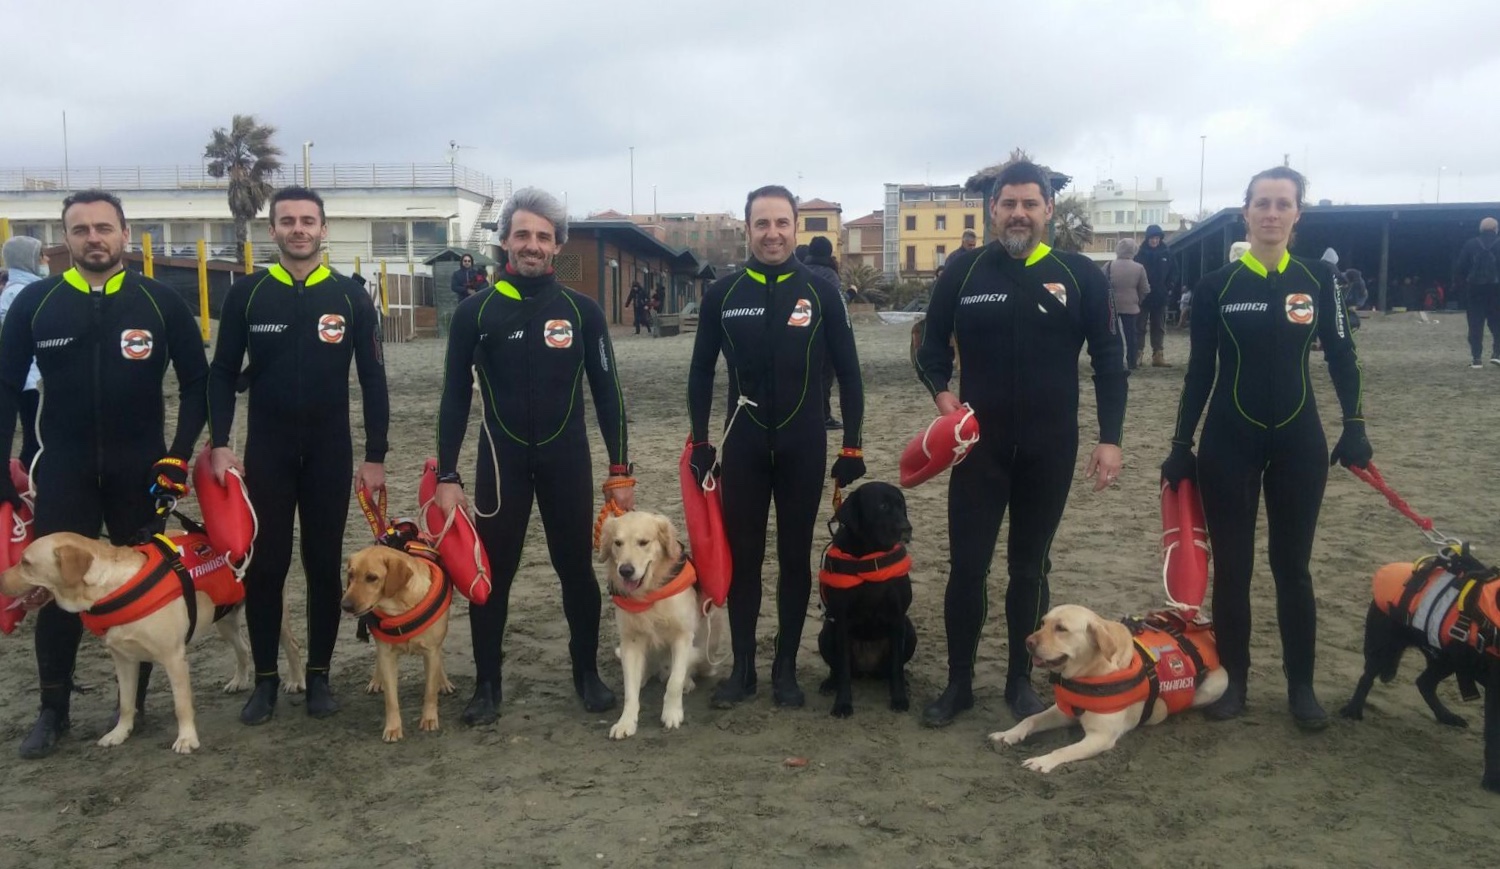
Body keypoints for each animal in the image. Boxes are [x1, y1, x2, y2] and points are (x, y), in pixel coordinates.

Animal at [0, 531, 304, 753]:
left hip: (273, 611)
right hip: (224, 618)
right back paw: (239, 680)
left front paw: (187, 739)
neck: (111, 588)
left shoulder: (173, 657)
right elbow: (126, 702)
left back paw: (295, 681)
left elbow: (181, 704)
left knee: (292, 645)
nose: (0, 578)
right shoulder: (123, 659)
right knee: (242, 648)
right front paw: (119, 733)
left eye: (25, 562)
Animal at [342, 543, 453, 741]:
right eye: (351, 575)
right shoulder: (387, 655)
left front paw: (429, 719)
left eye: (372, 578)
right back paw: (376, 681)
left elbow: (430, 691)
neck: (399, 609)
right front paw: (393, 728)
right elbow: (391, 699)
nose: (345, 605)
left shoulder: (431, 652)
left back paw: (443, 682)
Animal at [597, 510, 726, 741]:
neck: (649, 593)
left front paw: (672, 714)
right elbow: (630, 691)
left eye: (643, 542)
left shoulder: (682, 636)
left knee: (684, 669)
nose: (626, 570)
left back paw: (687, 681)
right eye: (617, 543)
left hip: (708, 641)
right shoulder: (631, 640)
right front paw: (625, 722)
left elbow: (674, 681)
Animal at [984, 606, 1230, 774]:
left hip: (1218, 683)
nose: (1027, 641)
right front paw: (1008, 734)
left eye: (1061, 628)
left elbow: (1064, 750)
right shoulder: (1064, 711)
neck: (1090, 671)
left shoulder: (1101, 737)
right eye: (1043, 623)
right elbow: (1031, 719)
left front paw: (1041, 761)